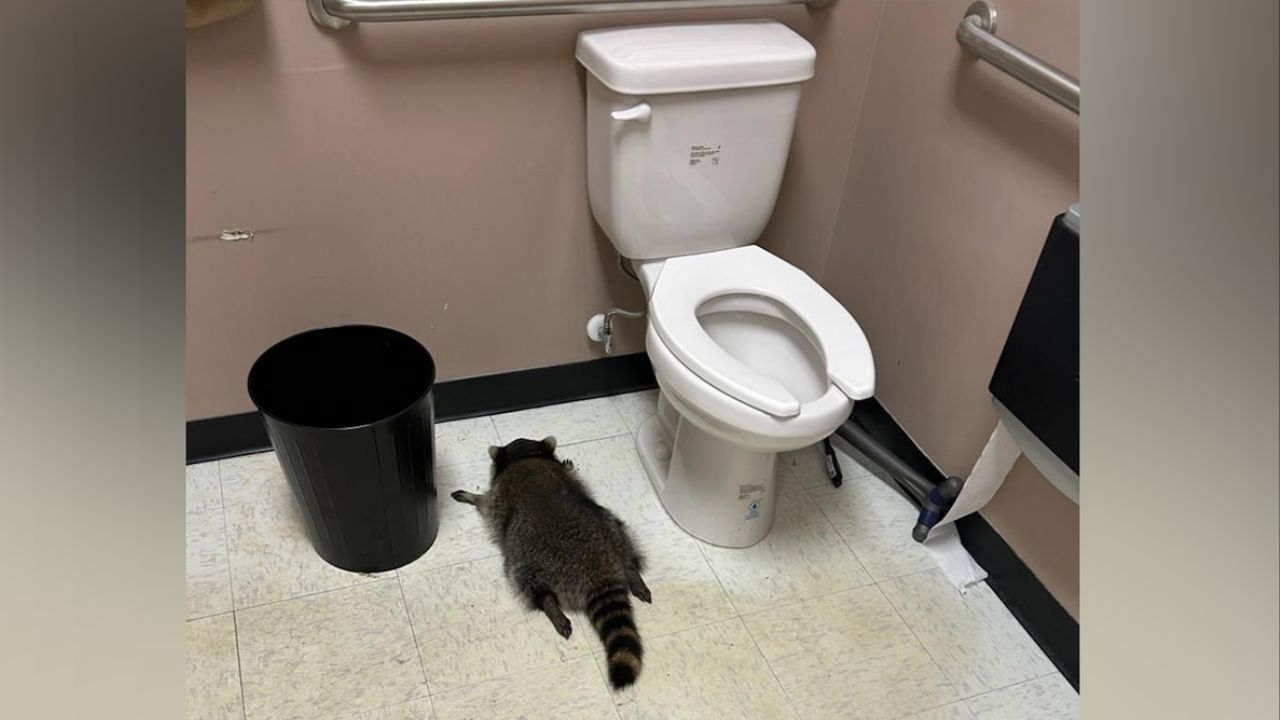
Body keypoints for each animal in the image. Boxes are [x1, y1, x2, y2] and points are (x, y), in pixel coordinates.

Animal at [450, 436, 651, 689]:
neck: (525, 457)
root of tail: (597, 570)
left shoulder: (499, 495)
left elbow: (486, 503)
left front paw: (472, 497)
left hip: (528, 557)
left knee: (525, 580)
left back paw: (549, 604)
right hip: (610, 526)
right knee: (622, 539)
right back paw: (632, 572)